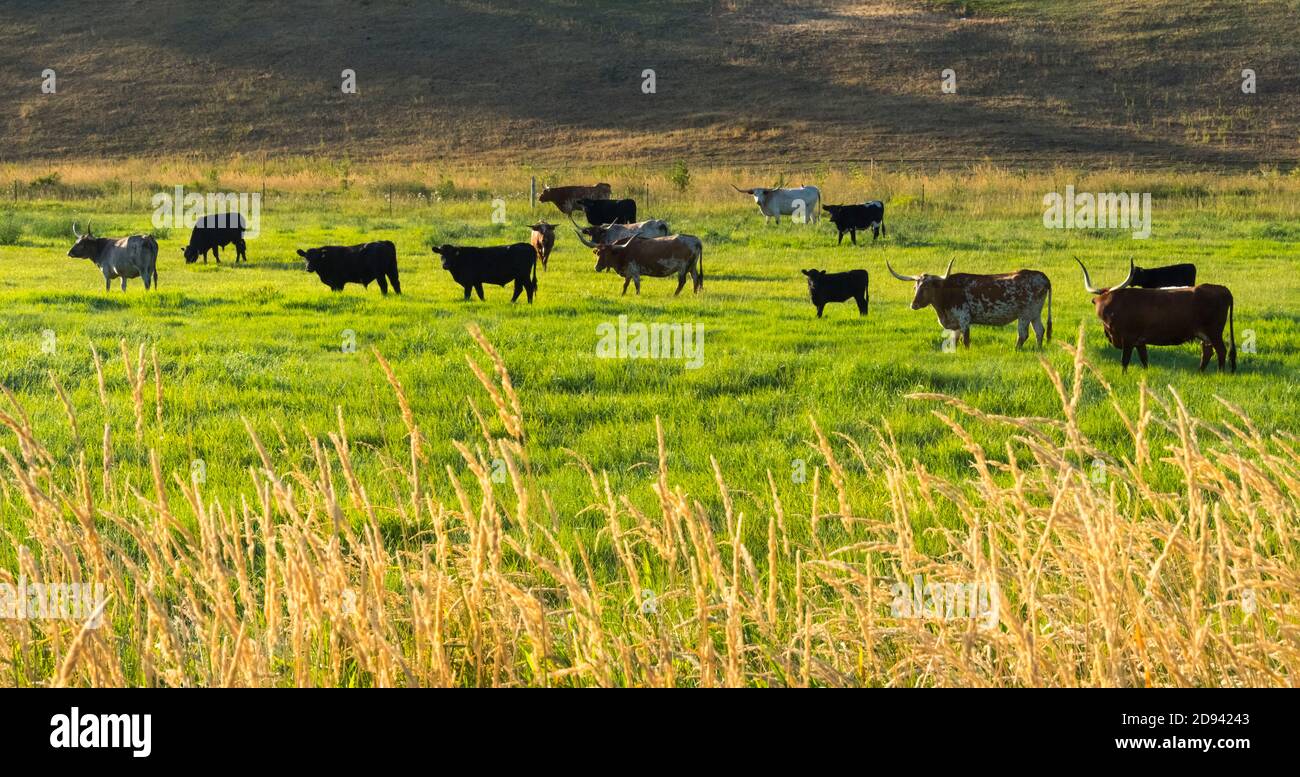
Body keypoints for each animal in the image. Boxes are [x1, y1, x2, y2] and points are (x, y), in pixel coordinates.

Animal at [889, 258, 1050, 350]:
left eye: (927, 287)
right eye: (915, 287)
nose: (913, 304)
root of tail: (1042, 276)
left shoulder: (964, 319)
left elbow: (965, 340)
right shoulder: (955, 325)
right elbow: (955, 340)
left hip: (1024, 314)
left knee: (1023, 334)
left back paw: (1016, 349)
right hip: (1035, 314)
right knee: (1039, 331)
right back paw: (1039, 350)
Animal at [1076, 258, 1237, 374]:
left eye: (1110, 301)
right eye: (1100, 303)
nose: (1104, 314)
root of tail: (1222, 289)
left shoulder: (1128, 339)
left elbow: (1125, 360)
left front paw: (1124, 375)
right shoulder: (1140, 342)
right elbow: (1144, 360)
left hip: (1214, 333)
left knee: (1221, 351)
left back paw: (1220, 373)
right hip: (1204, 335)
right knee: (1207, 352)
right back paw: (1200, 372)